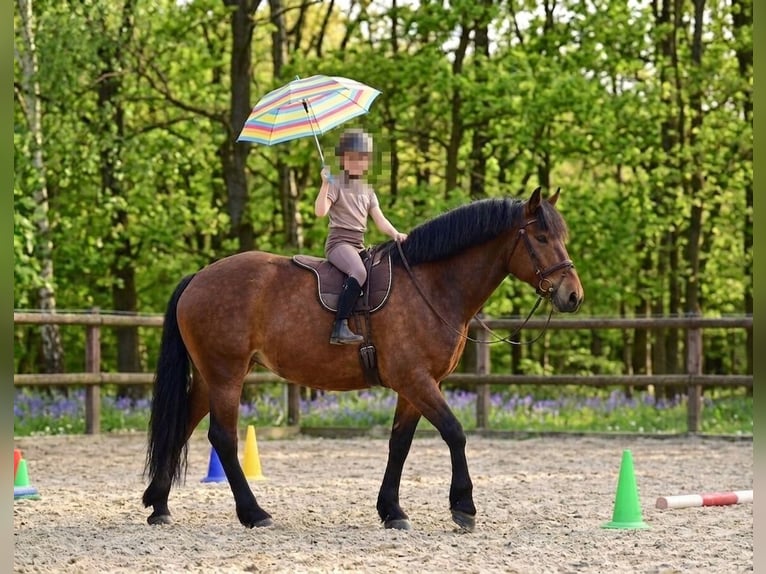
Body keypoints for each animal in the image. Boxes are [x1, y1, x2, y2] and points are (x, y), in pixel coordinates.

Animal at [142, 187, 584, 532]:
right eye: (542, 236)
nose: (573, 295)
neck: (432, 285)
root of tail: (199, 277)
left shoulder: (415, 385)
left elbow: (400, 444)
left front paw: (392, 510)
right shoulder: (416, 379)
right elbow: (455, 433)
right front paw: (463, 506)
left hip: (211, 376)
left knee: (182, 427)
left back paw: (159, 503)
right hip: (226, 375)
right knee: (223, 438)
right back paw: (253, 513)